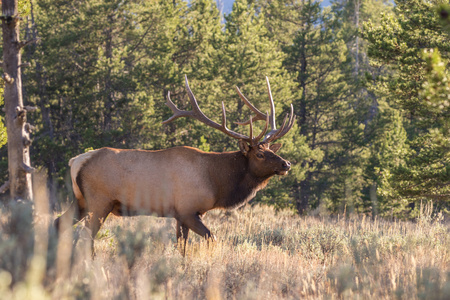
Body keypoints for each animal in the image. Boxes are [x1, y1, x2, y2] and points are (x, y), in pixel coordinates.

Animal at [53, 74, 296, 251]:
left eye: (270, 150)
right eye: (259, 155)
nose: (286, 164)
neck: (216, 182)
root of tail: (76, 161)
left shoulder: (181, 215)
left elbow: (181, 246)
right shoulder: (188, 210)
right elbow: (212, 238)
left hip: (81, 202)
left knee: (58, 223)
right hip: (99, 202)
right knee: (85, 237)